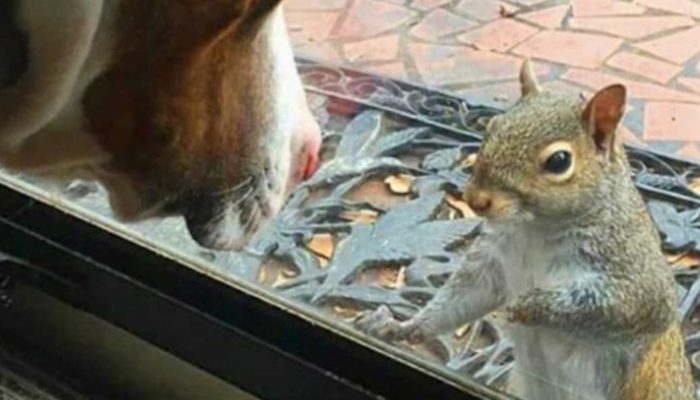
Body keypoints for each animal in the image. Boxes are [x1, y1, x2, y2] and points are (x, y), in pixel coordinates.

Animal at [358, 60, 696, 400]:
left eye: (559, 161)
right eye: (491, 127)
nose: (476, 200)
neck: (537, 228)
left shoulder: (630, 264)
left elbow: (627, 305)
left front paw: (527, 305)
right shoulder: (494, 259)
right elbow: (464, 296)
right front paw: (407, 327)